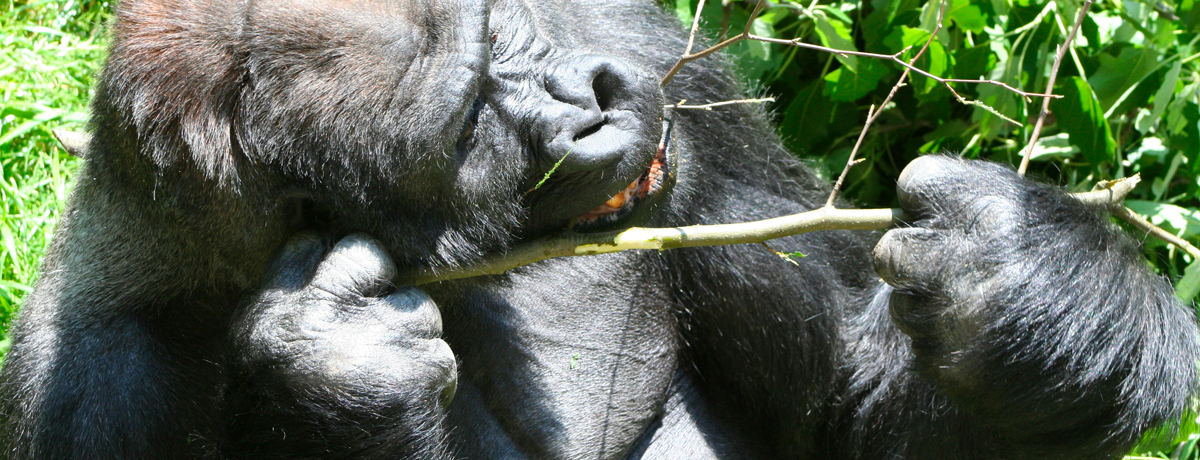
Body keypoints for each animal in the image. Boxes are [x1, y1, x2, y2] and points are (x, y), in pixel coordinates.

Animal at [2, 0, 1200, 458]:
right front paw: (336, 371)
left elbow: (847, 410)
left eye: (500, 29)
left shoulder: (634, 34)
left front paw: (1029, 286)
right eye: (468, 120)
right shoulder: (92, 390)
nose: (596, 100)